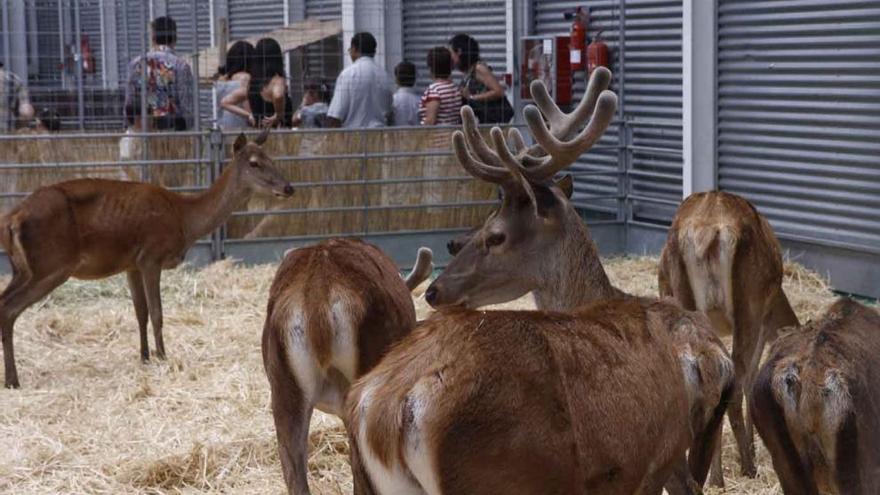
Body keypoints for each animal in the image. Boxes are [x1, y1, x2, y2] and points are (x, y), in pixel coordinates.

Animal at [0, 130, 296, 390]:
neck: (184, 220)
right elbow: (156, 312)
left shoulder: (131, 263)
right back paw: (13, 379)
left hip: (22, 268)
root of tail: (11, 220)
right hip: (51, 265)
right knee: (8, 308)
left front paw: (144, 356)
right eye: (254, 163)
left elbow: (139, 311)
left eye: (272, 158)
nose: (289, 187)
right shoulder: (152, 256)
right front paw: (163, 355)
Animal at [656, 190, 800, 484]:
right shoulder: (764, 318)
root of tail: (707, 231)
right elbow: (752, 378)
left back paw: (714, 477)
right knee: (737, 381)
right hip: (749, 304)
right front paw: (753, 449)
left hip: (685, 298)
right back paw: (746, 467)